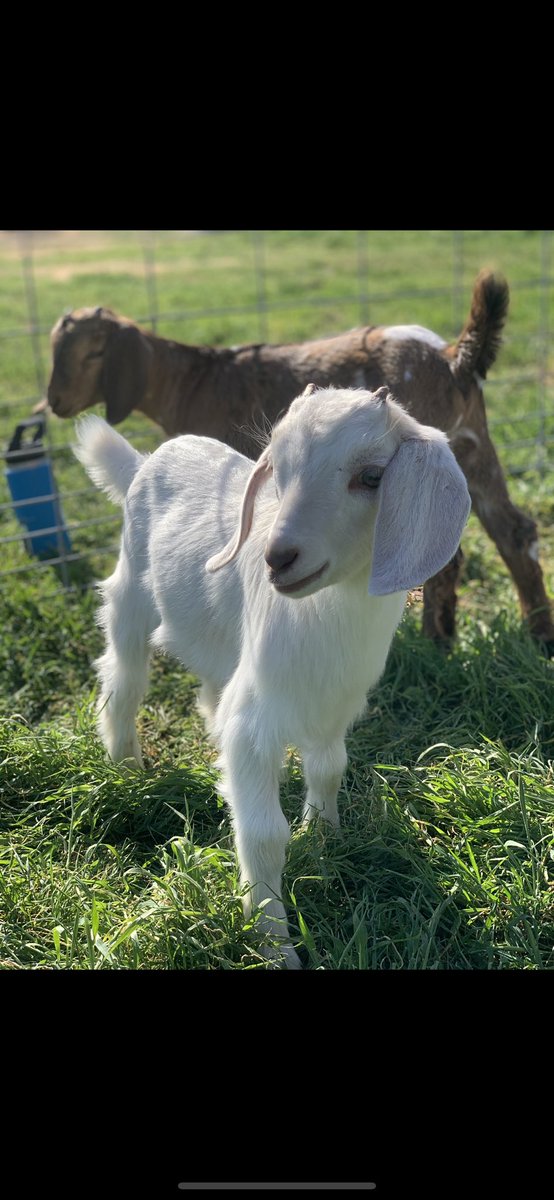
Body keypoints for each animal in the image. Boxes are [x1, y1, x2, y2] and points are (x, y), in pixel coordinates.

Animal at [46, 273, 554, 651]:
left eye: (94, 352)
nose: (54, 402)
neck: (192, 381)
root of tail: (454, 358)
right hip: (473, 447)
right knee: (514, 531)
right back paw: (536, 634)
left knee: (445, 554)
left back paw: (436, 640)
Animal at [74, 385, 471, 967]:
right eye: (278, 471)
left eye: (372, 475)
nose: (276, 558)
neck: (331, 617)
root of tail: (145, 461)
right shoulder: (257, 716)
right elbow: (263, 835)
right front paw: (272, 943)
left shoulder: (333, 703)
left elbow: (329, 768)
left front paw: (325, 837)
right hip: (130, 596)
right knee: (123, 677)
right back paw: (126, 766)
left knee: (210, 692)